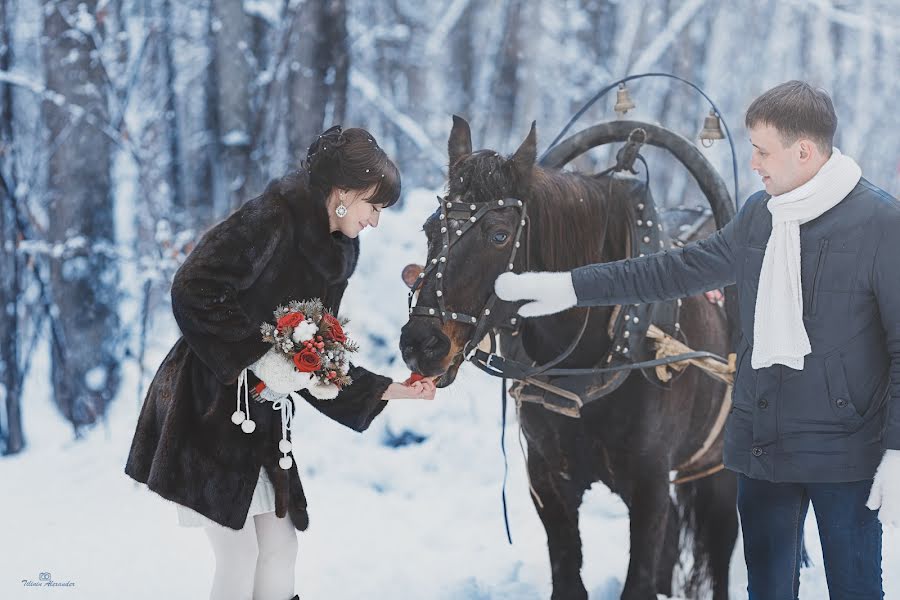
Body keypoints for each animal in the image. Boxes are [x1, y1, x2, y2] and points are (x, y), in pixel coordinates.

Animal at [400, 117, 740, 600]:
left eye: (499, 235)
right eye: (431, 229)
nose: (421, 343)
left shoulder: (650, 484)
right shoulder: (548, 480)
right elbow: (567, 576)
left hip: (717, 469)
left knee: (721, 548)